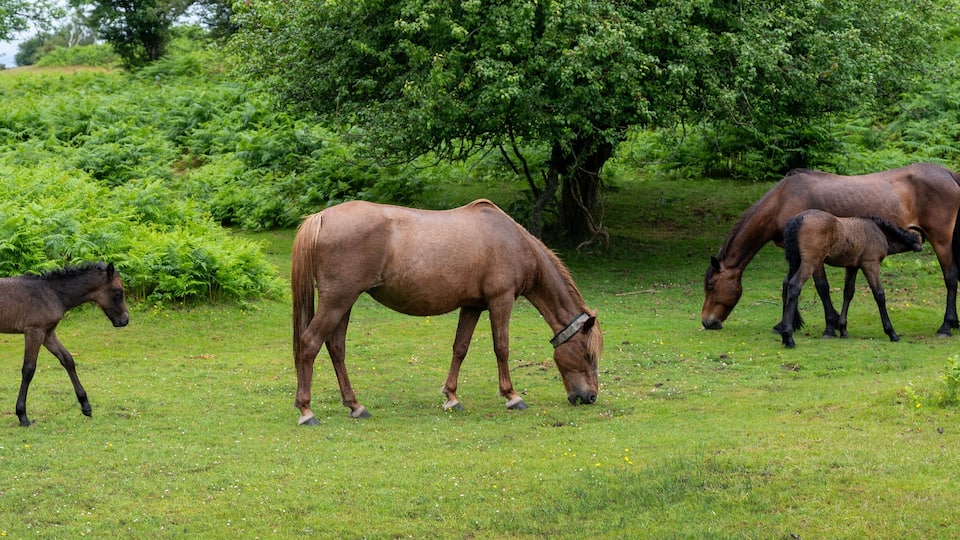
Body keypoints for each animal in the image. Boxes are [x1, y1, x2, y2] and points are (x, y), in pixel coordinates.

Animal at [0, 262, 129, 426]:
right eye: (118, 292)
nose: (125, 320)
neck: (53, 293)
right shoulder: (34, 331)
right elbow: (28, 369)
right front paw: (22, 415)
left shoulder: (48, 334)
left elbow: (68, 360)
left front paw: (86, 406)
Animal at [291, 199, 602, 424]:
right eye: (588, 355)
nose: (590, 397)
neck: (513, 241)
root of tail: (320, 218)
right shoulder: (501, 301)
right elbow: (501, 347)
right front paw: (512, 396)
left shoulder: (473, 305)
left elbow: (460, 348)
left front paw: (451, 397)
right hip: (337, 301)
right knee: (309, 343)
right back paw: (306, 411)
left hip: (345, 303)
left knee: (336, 347)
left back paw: (355, 405)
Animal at [777, 210, 923, 348]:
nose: (920, 248)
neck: (878, 230)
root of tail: (798, 218)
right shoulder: (871, 265)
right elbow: (879, 295)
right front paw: (891, 332)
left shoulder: (852, 267)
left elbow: (848, 293)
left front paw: (843, 329)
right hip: (810, 262)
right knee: (794, 285)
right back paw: (788, 337)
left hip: (795, 261)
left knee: (786, 283)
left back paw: (783, 332)